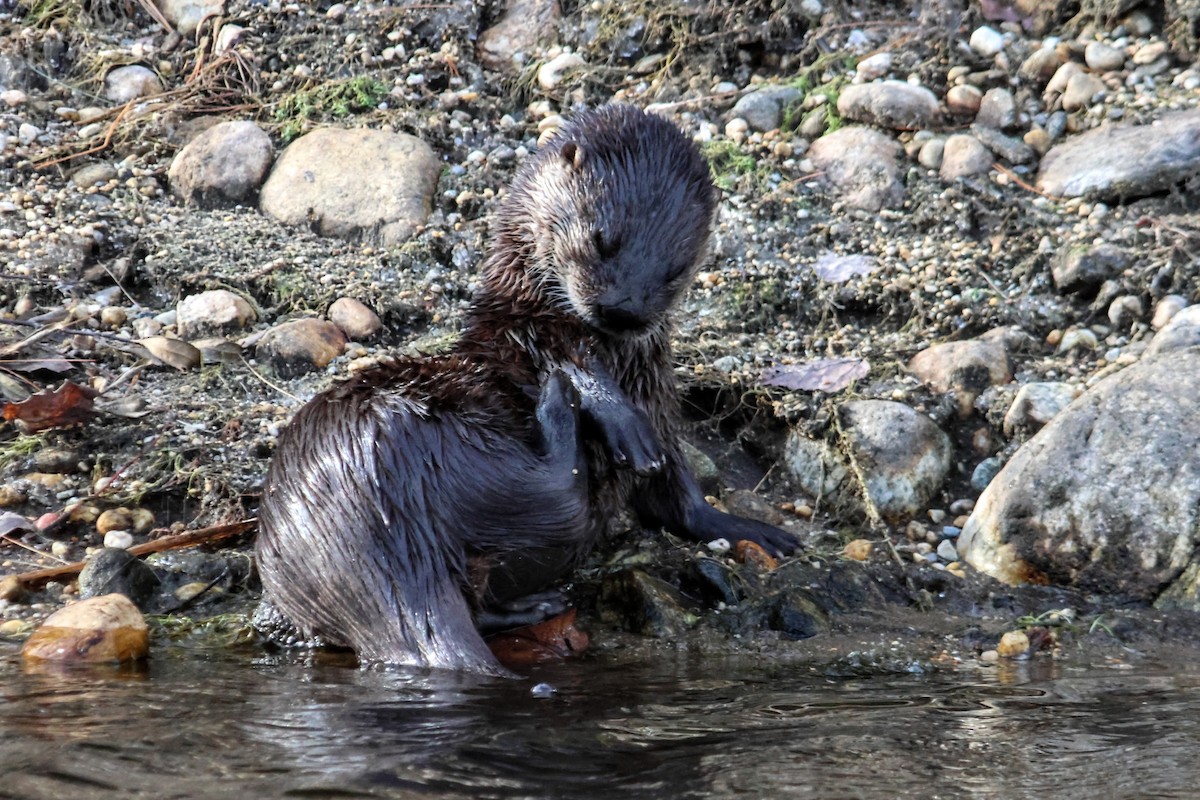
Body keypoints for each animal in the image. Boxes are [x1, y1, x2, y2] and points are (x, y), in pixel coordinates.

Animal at [255, 104, 796, 676]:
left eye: (676, 270)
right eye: (602, 238)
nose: (622, 310)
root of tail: (380, 532)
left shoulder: (656, 393)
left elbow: (678, 495)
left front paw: (748, 528)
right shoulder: (532, 337)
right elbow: (572, 369)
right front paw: (618, 420)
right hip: (439, 444)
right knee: (561, 495)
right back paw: (558, 407)